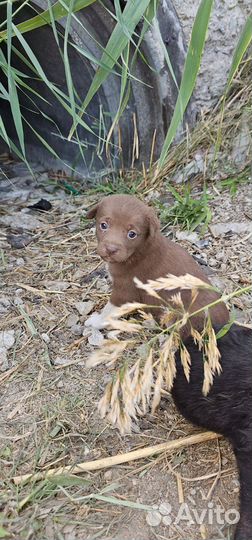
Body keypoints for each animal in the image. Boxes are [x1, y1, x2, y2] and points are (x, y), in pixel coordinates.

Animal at [84, 195, 228, 334]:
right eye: (103, 225)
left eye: (132, 234)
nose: (110, 249)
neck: (140, 250)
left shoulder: (125, 290)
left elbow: (109, 310)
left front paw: (97, 321)